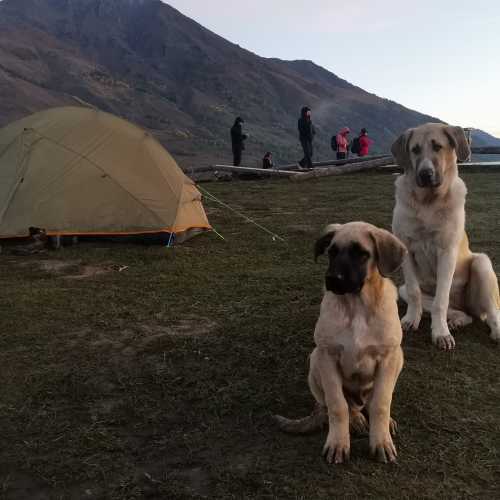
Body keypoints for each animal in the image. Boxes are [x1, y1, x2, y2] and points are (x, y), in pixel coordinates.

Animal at [276, 223, 408, 464]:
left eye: (361, 254)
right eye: (332, 252)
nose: (332, 279)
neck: (356, 307)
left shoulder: (388, 357)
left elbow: (381, 403)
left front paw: (381, 441)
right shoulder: (327, 357)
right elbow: (337, 405)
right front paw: (338, 443)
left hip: (398, 359)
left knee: (371, 402)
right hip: (314, 362)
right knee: (342, 405)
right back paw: (356, 419)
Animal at [392, 123, 498, 350]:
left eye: (437, 147)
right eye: (415, 149)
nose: (425, 174)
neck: (428, 202)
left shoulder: (447, 252)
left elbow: (441, 300)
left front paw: (440, 333)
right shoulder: (406, 250)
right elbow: (414, 292)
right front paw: (411, 320)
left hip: (482, 263)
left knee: (492, 311)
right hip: (401, 289)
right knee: (462, 313)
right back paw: (457, 320)